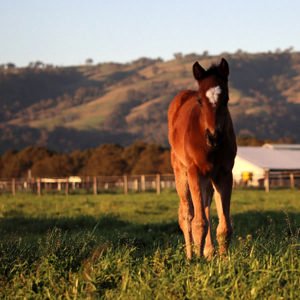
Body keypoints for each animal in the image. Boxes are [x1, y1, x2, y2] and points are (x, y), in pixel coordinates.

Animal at [168, 57, 236, 258]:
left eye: (226, 99)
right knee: (187, 213)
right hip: (181, 172)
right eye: (200, 100)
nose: (213, 137)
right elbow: (198, 223)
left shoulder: (224, 174)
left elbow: (224, 226)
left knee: (205, 206)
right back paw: (191, 256)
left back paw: (209, 252)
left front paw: (224, 261)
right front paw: (196, 262)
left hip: (208, 179)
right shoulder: (196, 171)